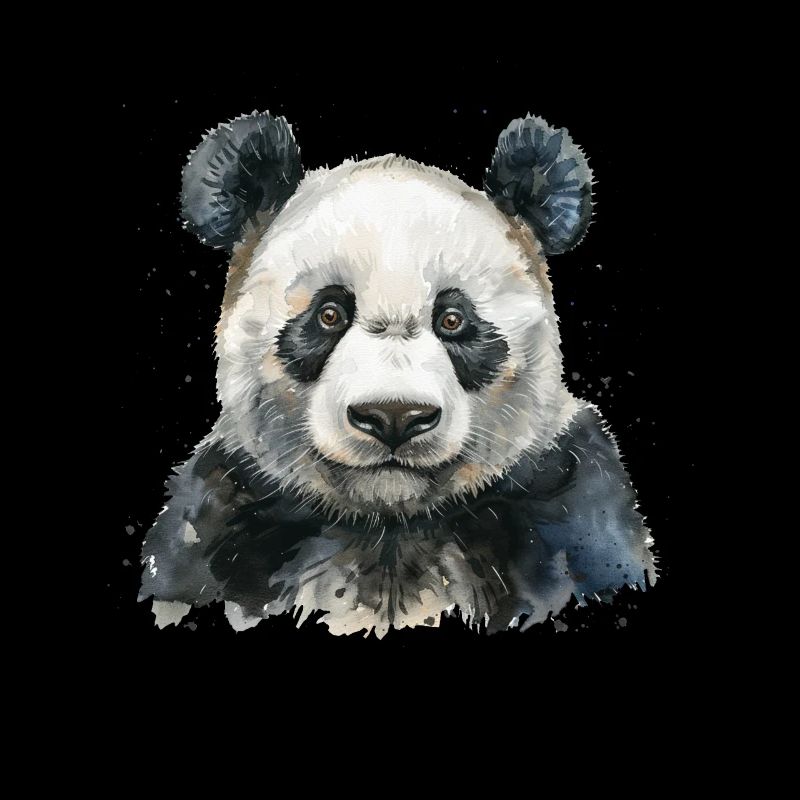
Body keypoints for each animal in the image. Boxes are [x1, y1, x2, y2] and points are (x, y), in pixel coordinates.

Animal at [139, 110, 657, 636]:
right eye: (329, 314)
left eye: (453, 320)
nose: (393, 416)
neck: (390, 529)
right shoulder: (223, 517)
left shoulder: (570, 508)